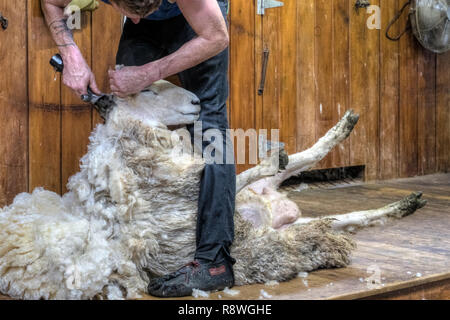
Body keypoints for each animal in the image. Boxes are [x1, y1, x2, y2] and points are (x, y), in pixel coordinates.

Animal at [0, 80, 426, 300]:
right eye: (148, 91)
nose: (195, 100)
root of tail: (274, 218)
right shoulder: (189, 186)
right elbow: (235, 178)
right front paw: (271, 159)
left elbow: (242, 174)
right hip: (277, 227)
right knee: (339, 217)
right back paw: (399, 204)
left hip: (272, 205)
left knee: (311, 166)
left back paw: (348, 133)